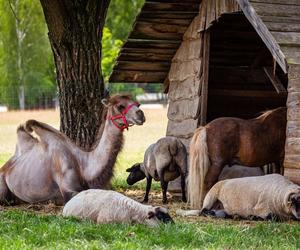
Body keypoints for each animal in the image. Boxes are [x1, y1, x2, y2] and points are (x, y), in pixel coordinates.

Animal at [0, 94, 145, 204]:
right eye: (120, 106)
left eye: (138, 104)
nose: (141, 115)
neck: (83, 166)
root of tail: (6, 166)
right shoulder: (68, 189)